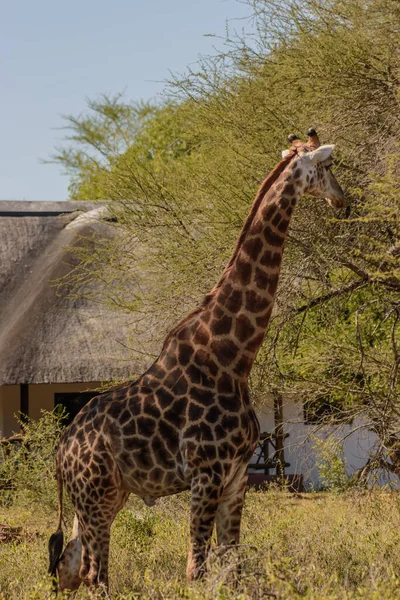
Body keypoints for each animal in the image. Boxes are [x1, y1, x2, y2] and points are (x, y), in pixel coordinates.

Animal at [49, 129, 344, 592]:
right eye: (329, 166)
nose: (343, 201)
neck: (234, 356)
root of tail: (61, 450)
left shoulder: (237, 478)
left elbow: (232, 566)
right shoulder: (206, 474)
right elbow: (197, 571)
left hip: (106, 496)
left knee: (71, 566)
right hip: (95, 496)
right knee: (96, 575)